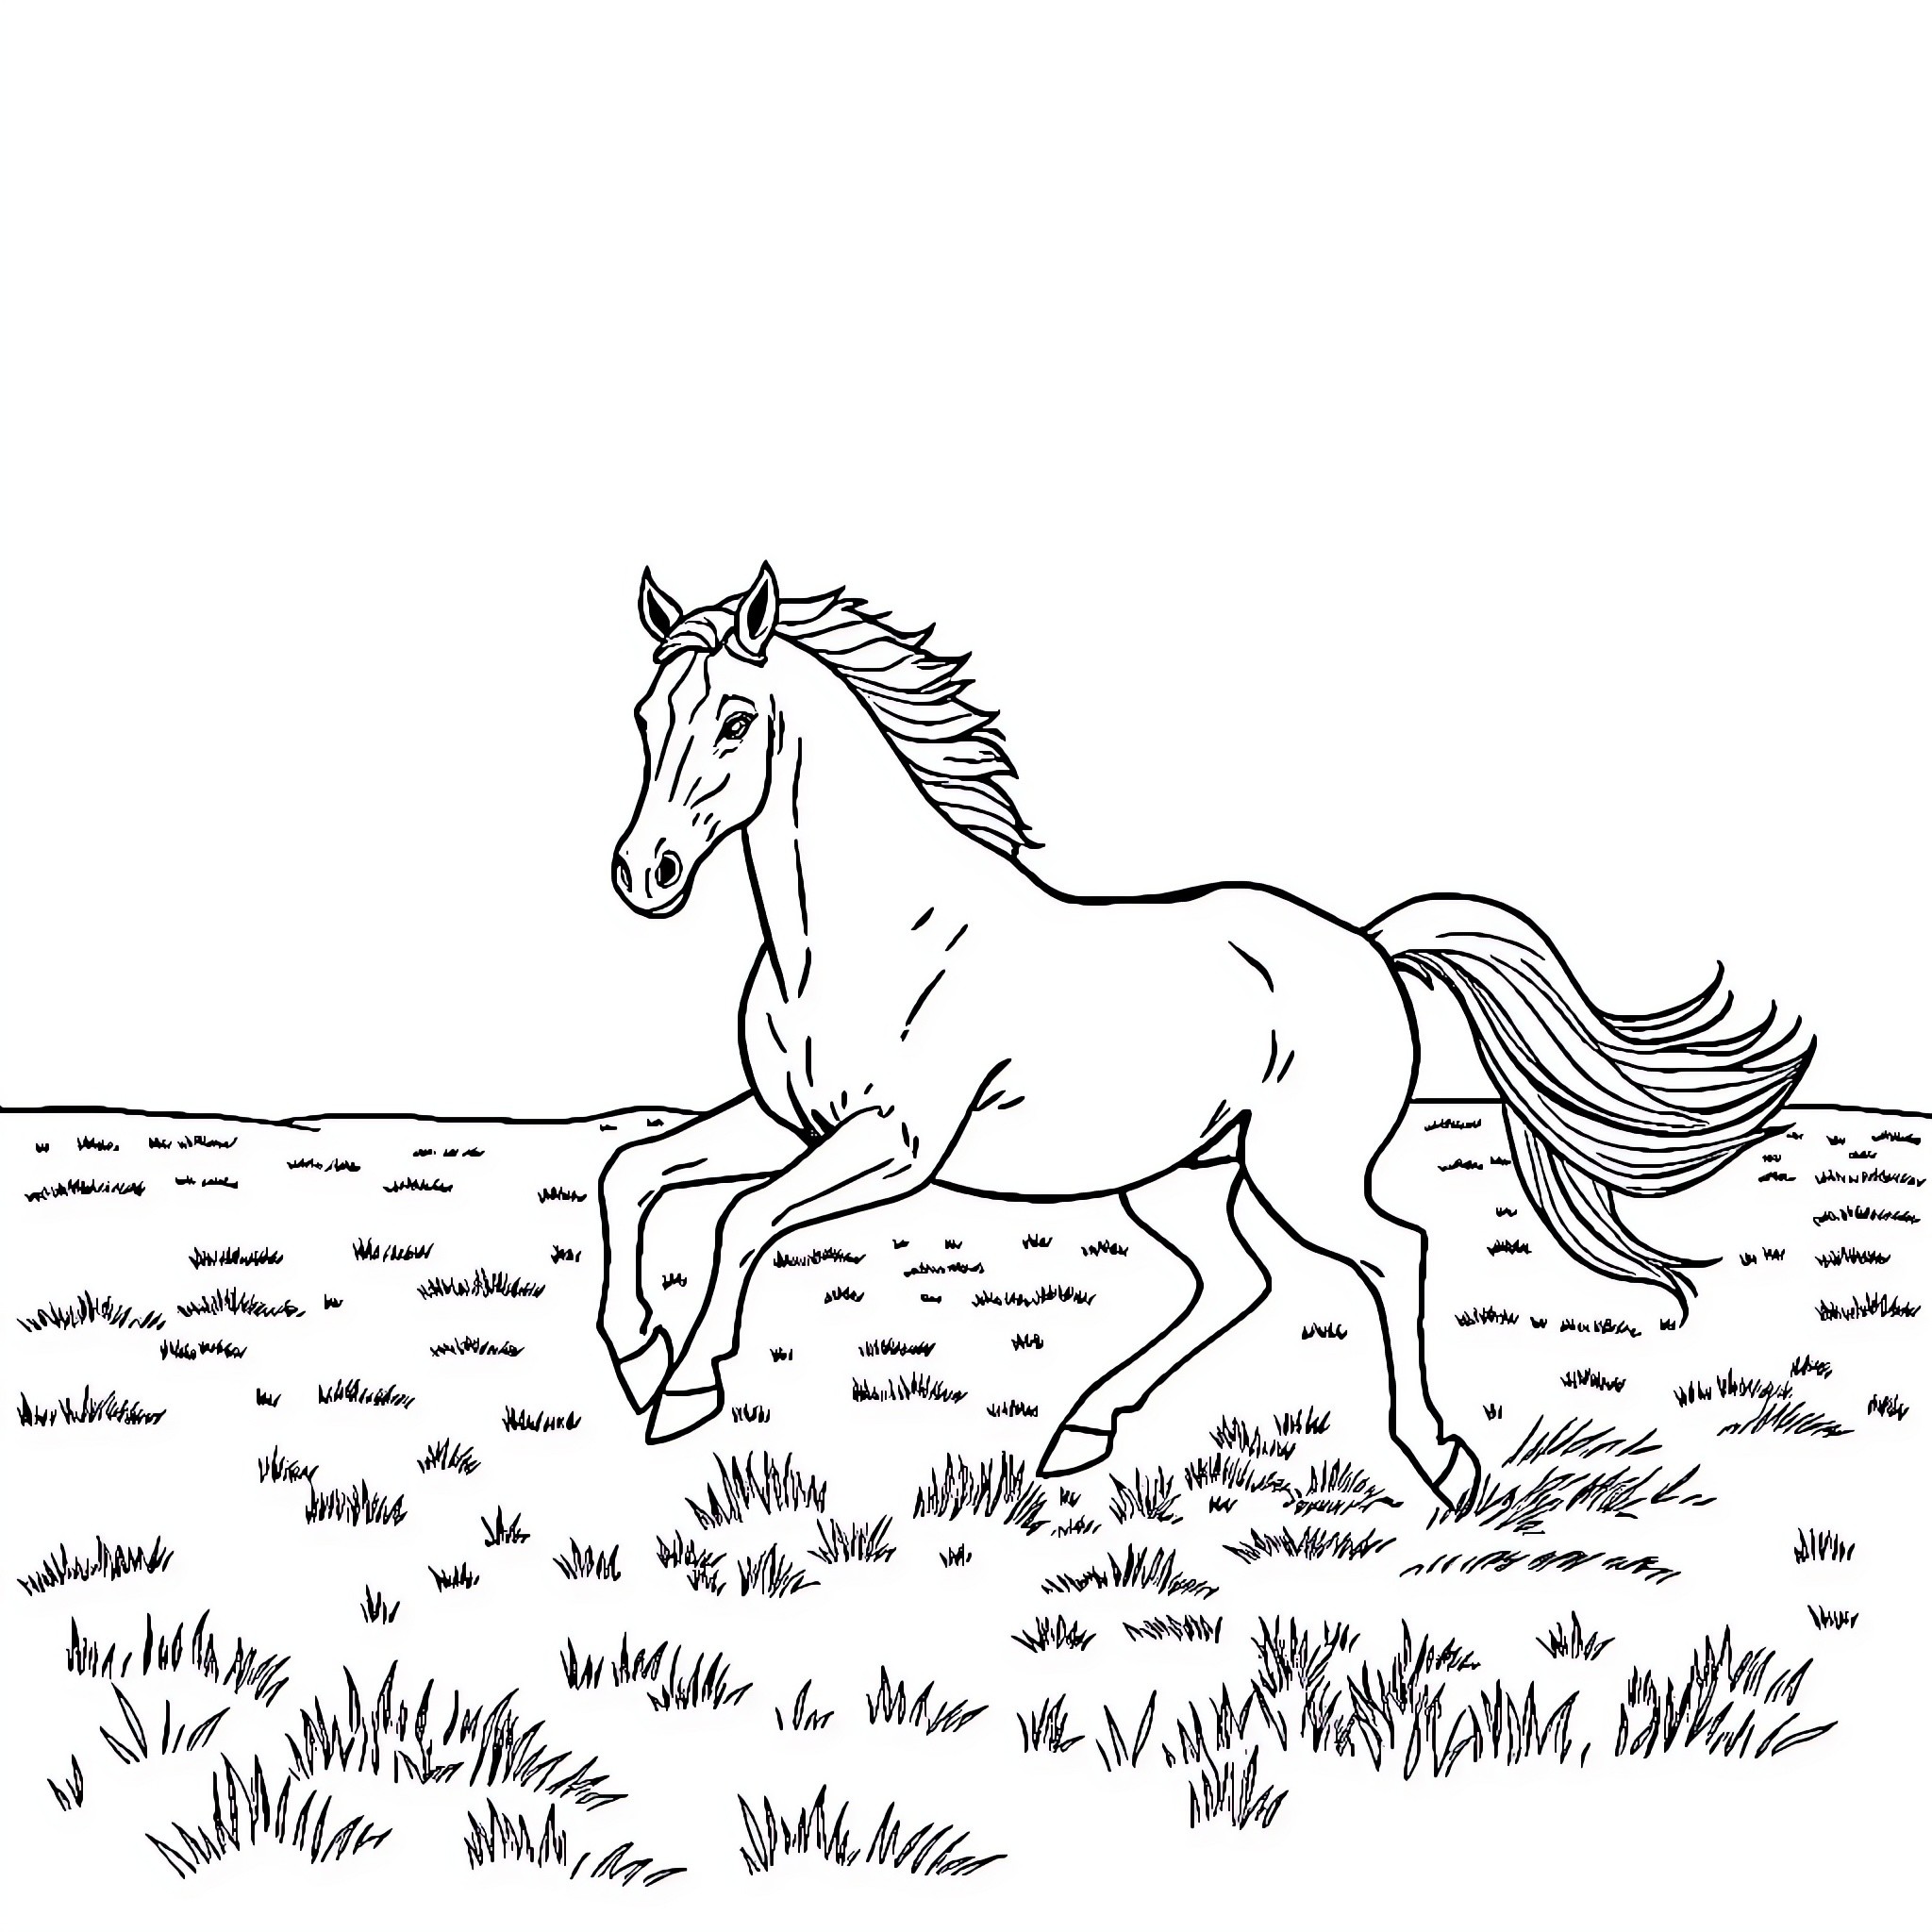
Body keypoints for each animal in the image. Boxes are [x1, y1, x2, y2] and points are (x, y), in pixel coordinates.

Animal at [597, 563, 1810, 1511]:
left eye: (736, 720)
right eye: (645, 718)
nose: (643, 875)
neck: (859, 934)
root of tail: (1369, 947)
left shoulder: (893, 1146)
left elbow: (741, 1220)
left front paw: (683, 1388)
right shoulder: (786, 1122)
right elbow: (634, 1171)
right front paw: (633, 1346)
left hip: (1298, 1171)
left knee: (1395, 1251)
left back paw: (1440, 1461)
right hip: (1180, 1175)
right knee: (1236, 1283)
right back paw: (1079, 1431)